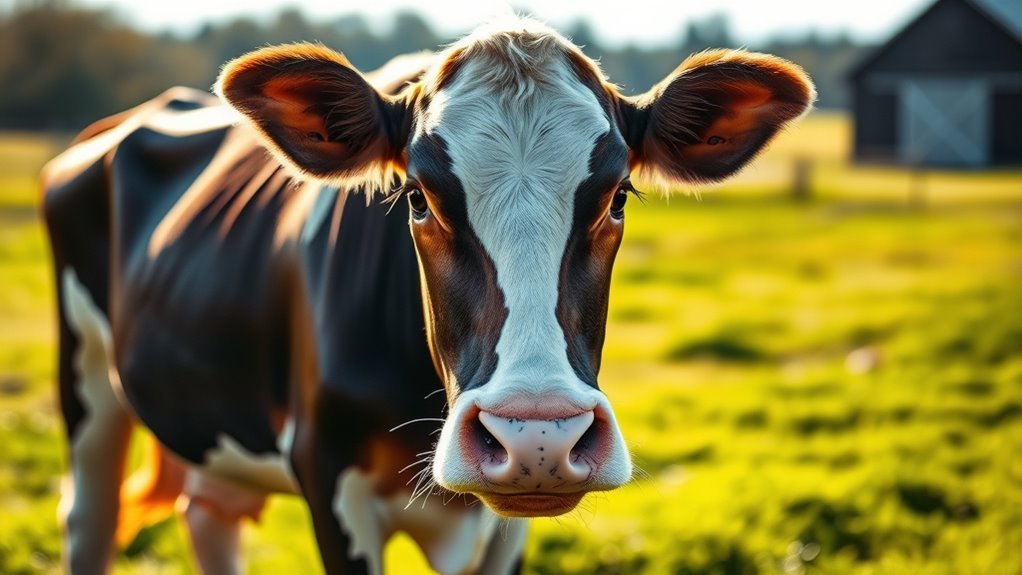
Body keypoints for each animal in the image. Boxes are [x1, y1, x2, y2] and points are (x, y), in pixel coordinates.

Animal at [41, 17, 813, 575]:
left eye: (618, 196)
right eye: (417, 197)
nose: (537, 436)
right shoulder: (328, 476)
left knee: (209, 515)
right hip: (87, 385)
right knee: (89, 521)